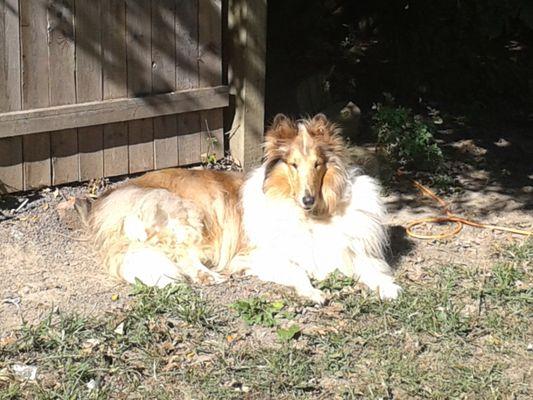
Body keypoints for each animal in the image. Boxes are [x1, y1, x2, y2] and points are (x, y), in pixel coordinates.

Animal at [79, 113, 400, 304]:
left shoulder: (346, 250)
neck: (311, 216)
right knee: (181, 255)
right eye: (293, 165)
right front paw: (313, 292)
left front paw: (390, 288)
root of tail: (107, 201)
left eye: (318, 164)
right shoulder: (258, 254)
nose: (307, 200)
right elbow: (298, 271)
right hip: (181, 212)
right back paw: (211, 276)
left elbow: (370, 268)